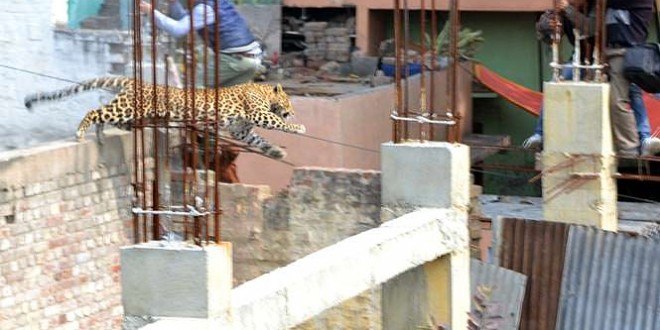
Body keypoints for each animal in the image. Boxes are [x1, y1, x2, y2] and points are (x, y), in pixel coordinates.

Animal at [22, 77, 306, 160]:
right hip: (129, 107)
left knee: (105, 114)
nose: (293, 110)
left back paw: (101, 136)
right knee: (95, 111)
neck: (263, 91)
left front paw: (276, 152)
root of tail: (134, 81)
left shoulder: (241, 130)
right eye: (289, 102)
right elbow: (279, 123)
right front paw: (298, 126)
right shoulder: (259, 113)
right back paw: (81, 132)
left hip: (128, 110)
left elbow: (258, 140)